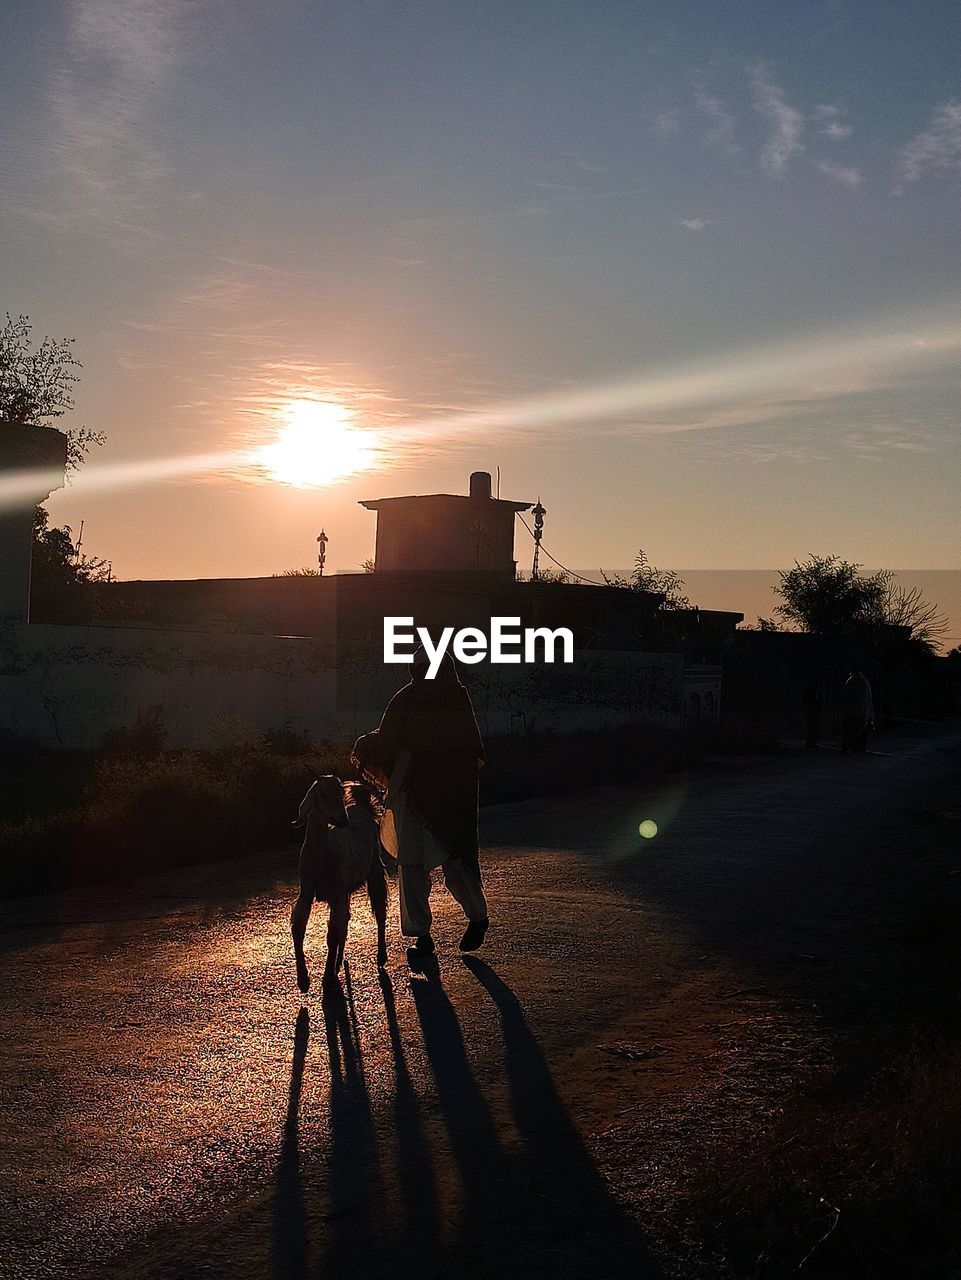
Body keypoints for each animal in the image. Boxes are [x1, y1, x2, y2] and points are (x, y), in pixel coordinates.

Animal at [289, 773, 386, 993]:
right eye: (322, 795)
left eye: (340, 794)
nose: (343, 819)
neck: (322, 852)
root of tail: (361, 804)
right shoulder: (307, 889)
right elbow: (299, 927)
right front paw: (303, 978)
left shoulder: (337, 891)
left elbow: (331, 935)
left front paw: (327, 977)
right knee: (346, 919)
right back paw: (339, 962)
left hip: (374, 868)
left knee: (379, 911)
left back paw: (381, 955)